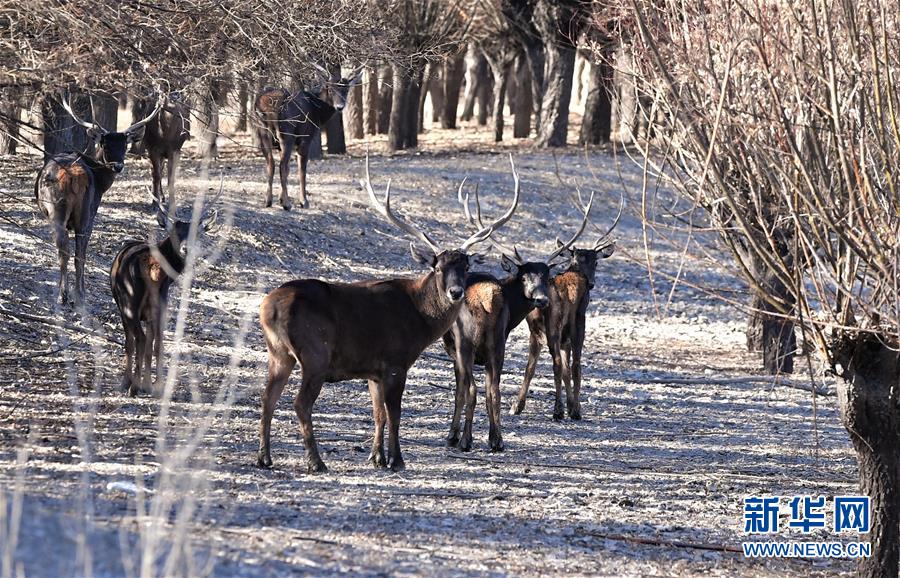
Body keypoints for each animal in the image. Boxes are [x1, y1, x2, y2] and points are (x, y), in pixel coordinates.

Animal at [34, 90, 163, 304]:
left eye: (125, 144)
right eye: (105, 143)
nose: (117, 166)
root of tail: (72, 176)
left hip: (57, 210)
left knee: (63, 248)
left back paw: (63, 294)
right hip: (84, 212)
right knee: (77, 253)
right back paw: (78, 294)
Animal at [253, 65, 362, 209]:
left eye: (346, 89)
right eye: (330, 89)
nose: (340, 107)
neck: (319, 113)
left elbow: (289, 169)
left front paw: (281, 199)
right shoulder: (306, 138)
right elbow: (302, 170)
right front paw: (303, 201)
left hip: (262, 134)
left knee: (271, 164)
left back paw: (268, 200)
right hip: (286, 136)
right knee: (282, 166)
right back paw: (287, 204)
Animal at [256, 154, 516, 472]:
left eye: (465, 267)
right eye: (438, 267)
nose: (456, 292)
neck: (419, 320)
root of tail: (267, 308)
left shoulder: (373, 369)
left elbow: (378, 412)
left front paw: (376, 457)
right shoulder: (395, 361)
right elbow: (394, 412)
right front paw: (397, 459)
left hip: (277, 352)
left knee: (267, 397)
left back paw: (264, 457)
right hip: (315, 352)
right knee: (300, 403)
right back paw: (315, 461)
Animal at [442, 180, 592, 450]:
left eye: (545, 275)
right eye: (524, 276)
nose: (542, 299)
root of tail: (487, 300)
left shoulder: (454, 350)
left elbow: (460, 390)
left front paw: (453, 434)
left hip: (466, 343)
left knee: (473, 389)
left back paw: (467, 440)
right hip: (501, 343)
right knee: (497, 387)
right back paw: (498, 439)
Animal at [510, 192, 624, 418]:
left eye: (595, 262)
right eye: (581, 261)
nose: (591, 283)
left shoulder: (555, 335)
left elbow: (558, 369)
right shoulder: (570, 329)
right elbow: (567, 368)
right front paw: (573, 407)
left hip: (545, 328)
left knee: (542, 365)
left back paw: (527, 406)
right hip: (570, 324)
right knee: (572, 365)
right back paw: (564, 410)